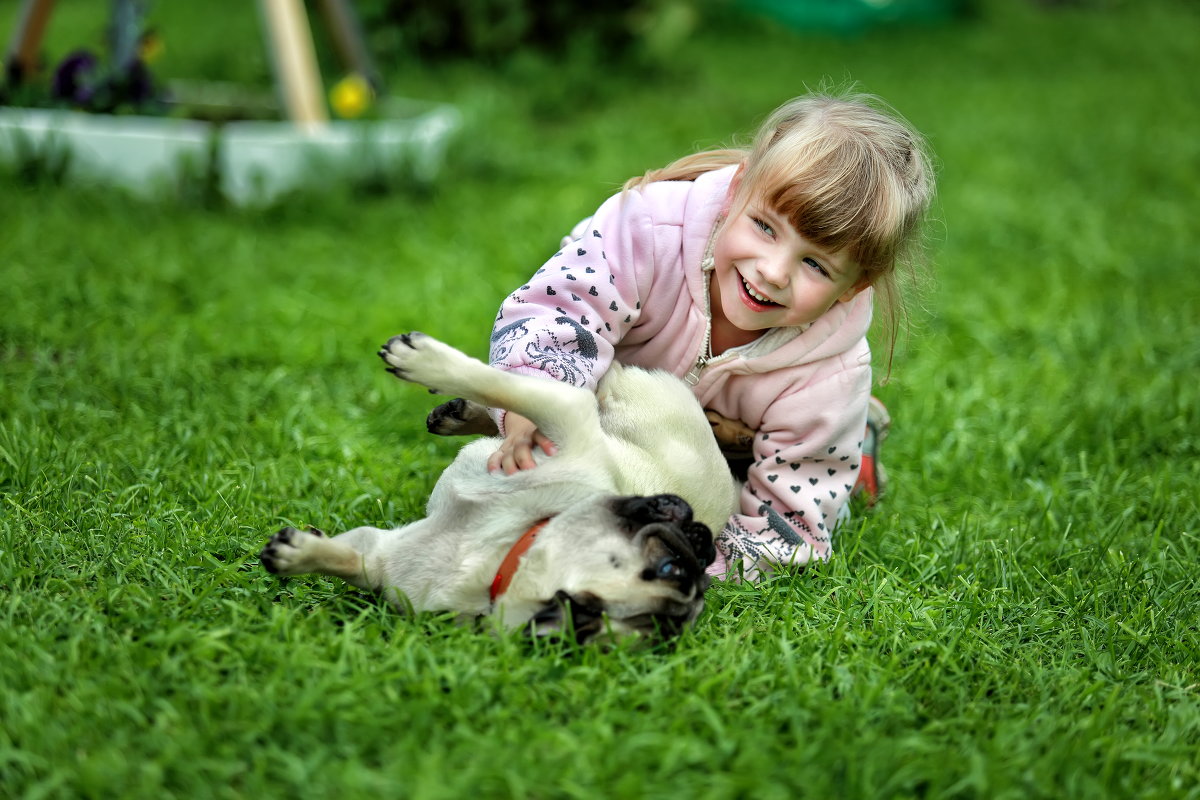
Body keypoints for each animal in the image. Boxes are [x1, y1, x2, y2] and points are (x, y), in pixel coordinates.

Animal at [258, 333, 734, 642]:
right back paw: (459, 414)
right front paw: (302, 552)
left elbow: (506, 386)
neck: (498, 554)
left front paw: (425, 361)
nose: (701, 539)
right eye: (672, 566)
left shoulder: (568, 413)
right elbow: (505, 389)